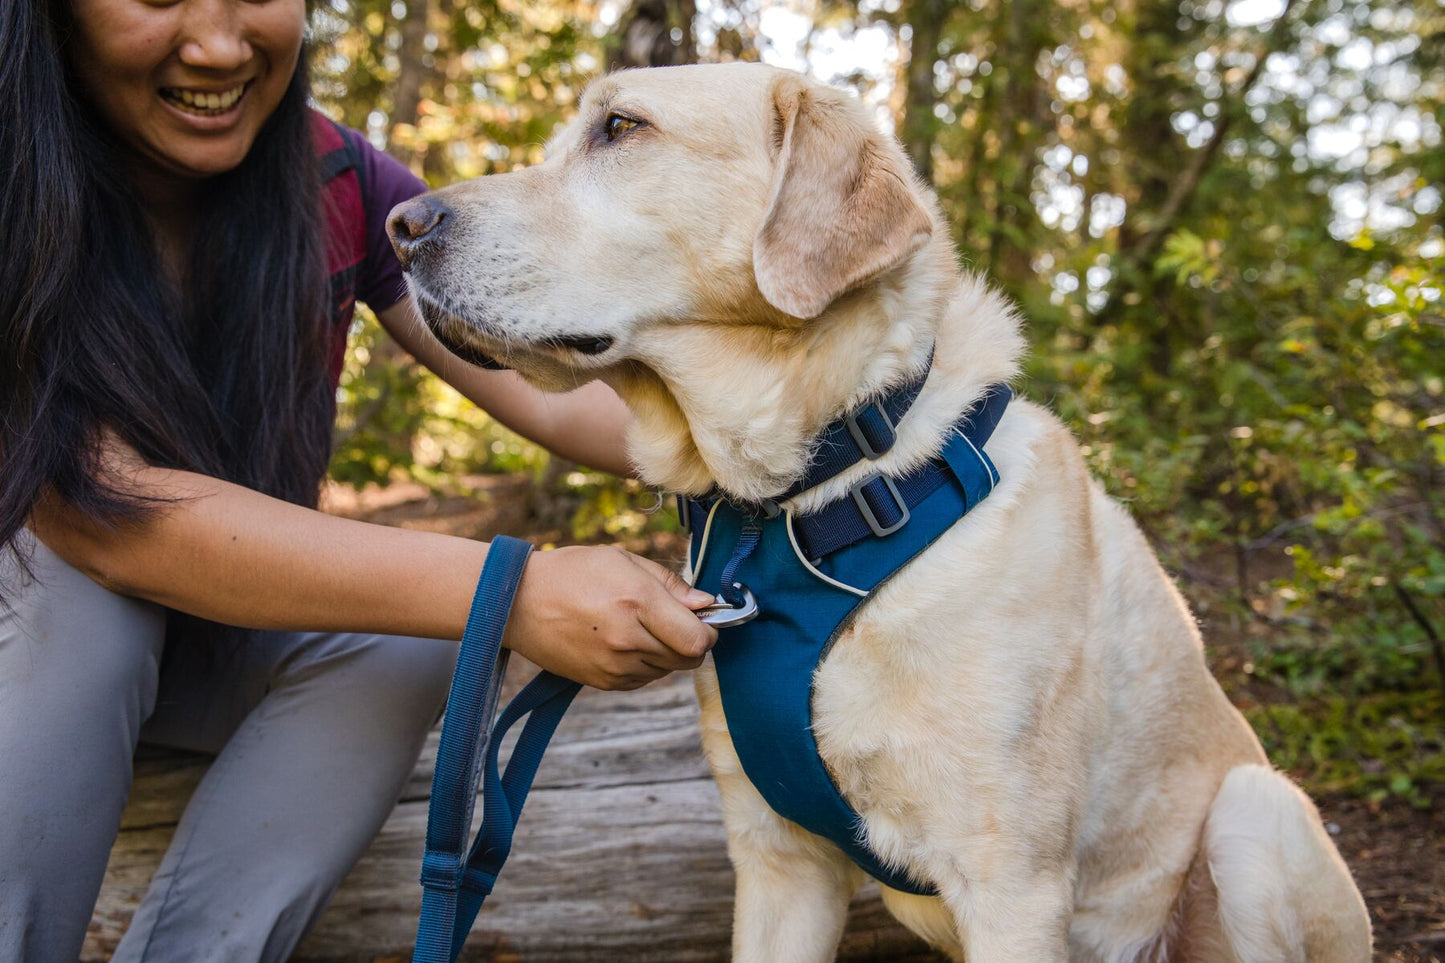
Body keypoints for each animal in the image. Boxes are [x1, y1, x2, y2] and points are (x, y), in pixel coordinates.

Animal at [390, 63, 1369, 954]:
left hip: (1258, 808)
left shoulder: (1013, 886)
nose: (402, 226)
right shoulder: (778, 862)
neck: (810, 499)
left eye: (620, 126)